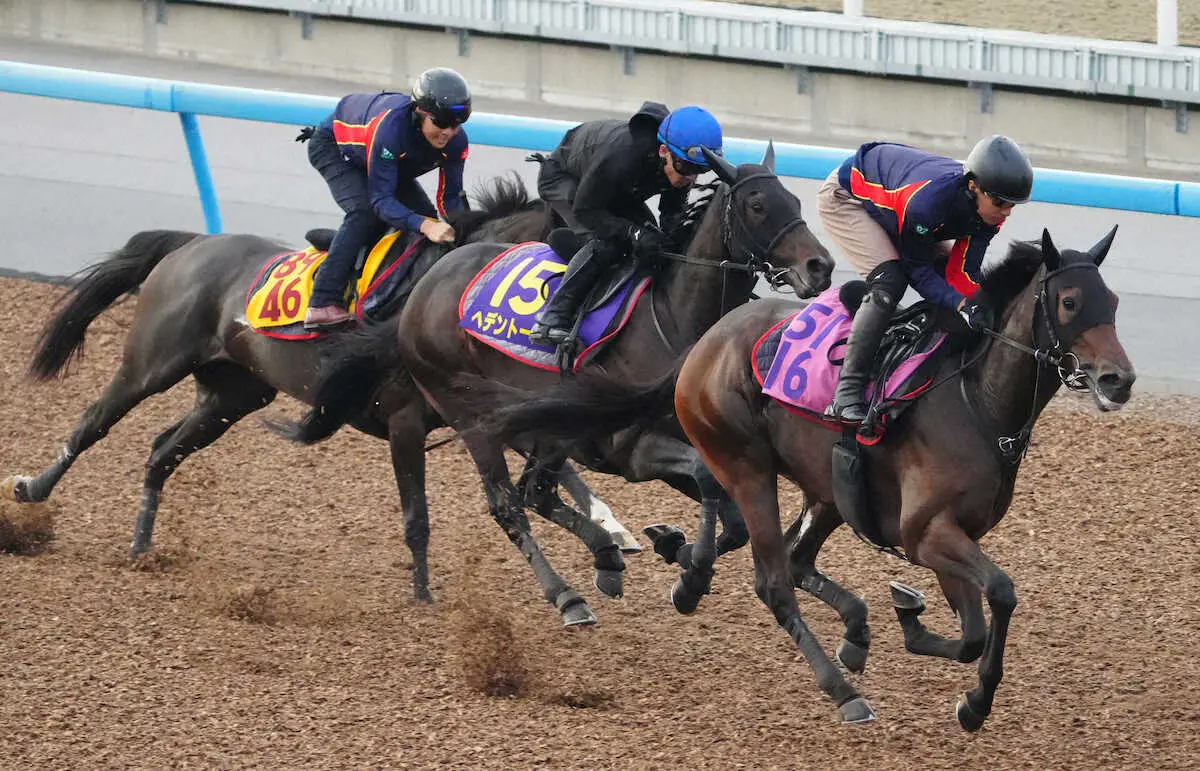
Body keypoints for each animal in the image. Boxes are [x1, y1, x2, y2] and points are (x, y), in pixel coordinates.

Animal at [2, 175, 638, 600]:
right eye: (579, 236)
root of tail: (191, 243)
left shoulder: (483, 410)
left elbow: (557, 475)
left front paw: (613, 538)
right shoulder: (409, 419)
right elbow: (419, 515)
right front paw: (424, 595)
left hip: (234, 394)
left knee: (162, 451)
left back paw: (140, 547)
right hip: (152, 363)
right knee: (95, 420)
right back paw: (33, 489)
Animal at [290, 145, 835, 624]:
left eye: (795, 200)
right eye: (758, 204)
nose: (821, 267)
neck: (673, 320)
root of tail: (423, 287)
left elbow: (731, 515)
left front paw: (677, 557)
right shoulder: (629, 449)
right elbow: (706, 484)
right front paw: (689, 573)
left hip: (546, 425)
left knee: (538, 491)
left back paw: (607, 558)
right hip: (472, 416)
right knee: (510, 506)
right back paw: (567, 596)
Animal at [489, 225, 1132, 725]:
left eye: (1114, 301)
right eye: (1070, 302)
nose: (1118, 380)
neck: (975, 400)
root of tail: (708, 339)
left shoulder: (948, 537)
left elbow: (973, 630)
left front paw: (924, 638)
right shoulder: (927, 533)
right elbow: (1001, 591)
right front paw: (970, 697)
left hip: (828, 492)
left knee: (795, 561)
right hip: (747, 466)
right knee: (773, 578)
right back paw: (843, 691)